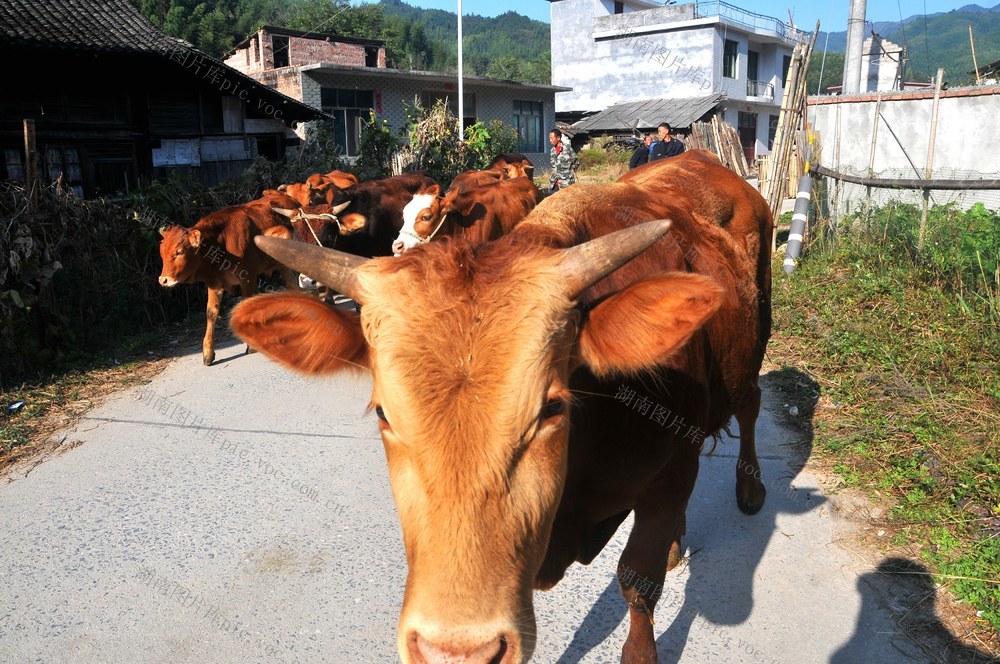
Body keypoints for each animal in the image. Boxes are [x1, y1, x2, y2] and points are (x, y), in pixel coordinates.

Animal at [158, 197, 292, 366]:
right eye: (161, 252)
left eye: (179, 251)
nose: (163, 280)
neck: (221, 244)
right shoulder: (215, 282)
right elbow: (211, 313)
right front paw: (208, 353)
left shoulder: (248, 278)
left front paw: (251, 345)